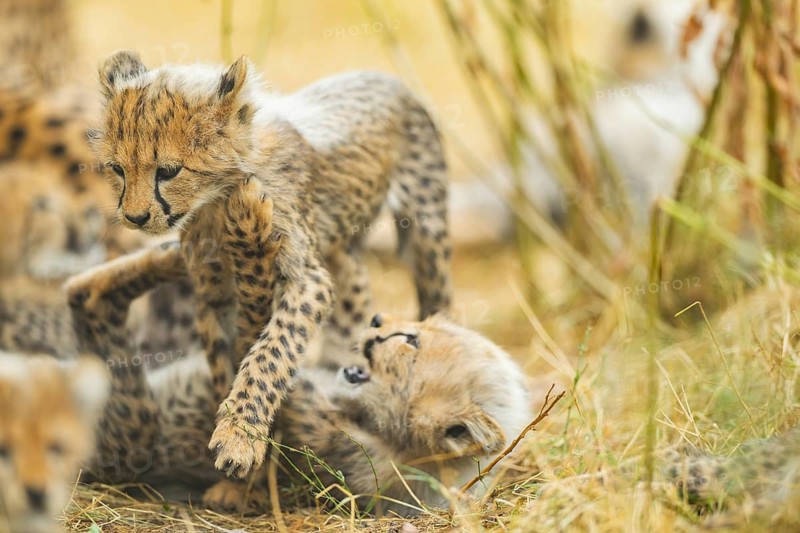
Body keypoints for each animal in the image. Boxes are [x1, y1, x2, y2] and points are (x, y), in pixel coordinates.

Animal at [91, 49, 453, 478]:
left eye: (168, 170)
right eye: (117, 169)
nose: (134, 218)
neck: (216, 197)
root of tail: (382, 76)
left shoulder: (307, 279)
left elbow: (271, 351)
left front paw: (240, 435)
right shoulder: (213, 296)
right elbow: (222, 363)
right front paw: (239, 474)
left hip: (425, 227)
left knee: (438, 292)